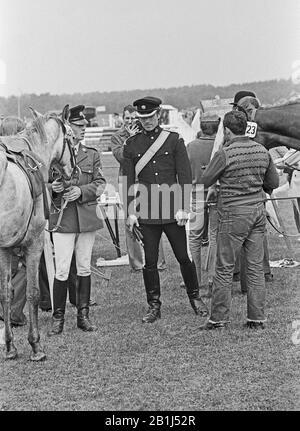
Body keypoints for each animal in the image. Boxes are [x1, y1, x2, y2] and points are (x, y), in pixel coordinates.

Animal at [0, 106, 76, 362]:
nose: (73, 171)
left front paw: (10, 347)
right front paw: (35, 346)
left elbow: (6, 293)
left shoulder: (4, 249)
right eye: (73, 137)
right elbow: (32, 292)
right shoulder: (34, 243)